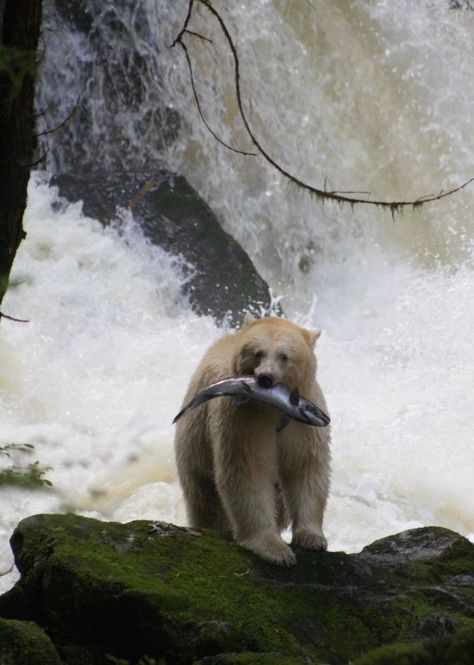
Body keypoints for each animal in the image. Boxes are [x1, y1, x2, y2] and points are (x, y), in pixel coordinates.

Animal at [173, 314, 330, 564]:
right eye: (258, 353)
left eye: (284, 356)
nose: (265, 378)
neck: (272, 406)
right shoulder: (242, 416)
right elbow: (247, 469)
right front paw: (275, 550)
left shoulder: (302, 423)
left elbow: (306, 466)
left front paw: (312, 538)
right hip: (194, 445)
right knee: (206, 500)